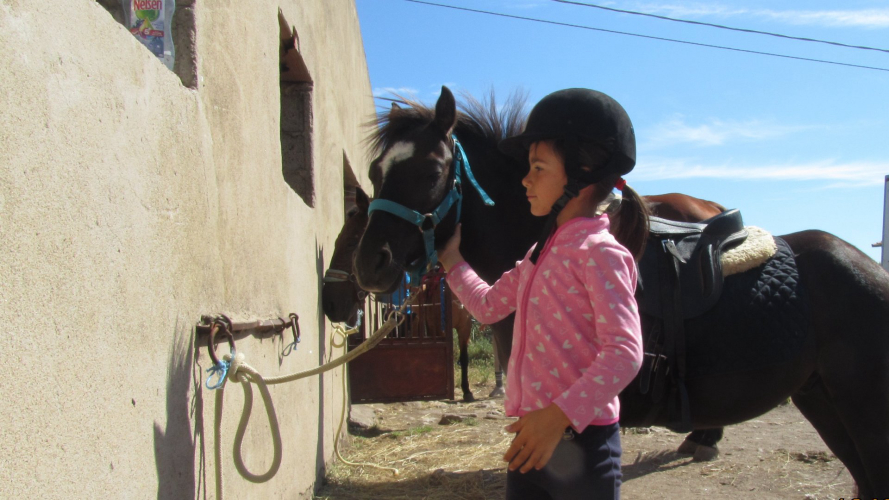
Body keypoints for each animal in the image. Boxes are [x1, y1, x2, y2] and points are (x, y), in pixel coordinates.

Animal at [322, 186, 491, 402]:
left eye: (351, 243)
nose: (329, 303)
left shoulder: (465, 326)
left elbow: (464, 356)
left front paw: (467, 390)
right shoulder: (437, 327)